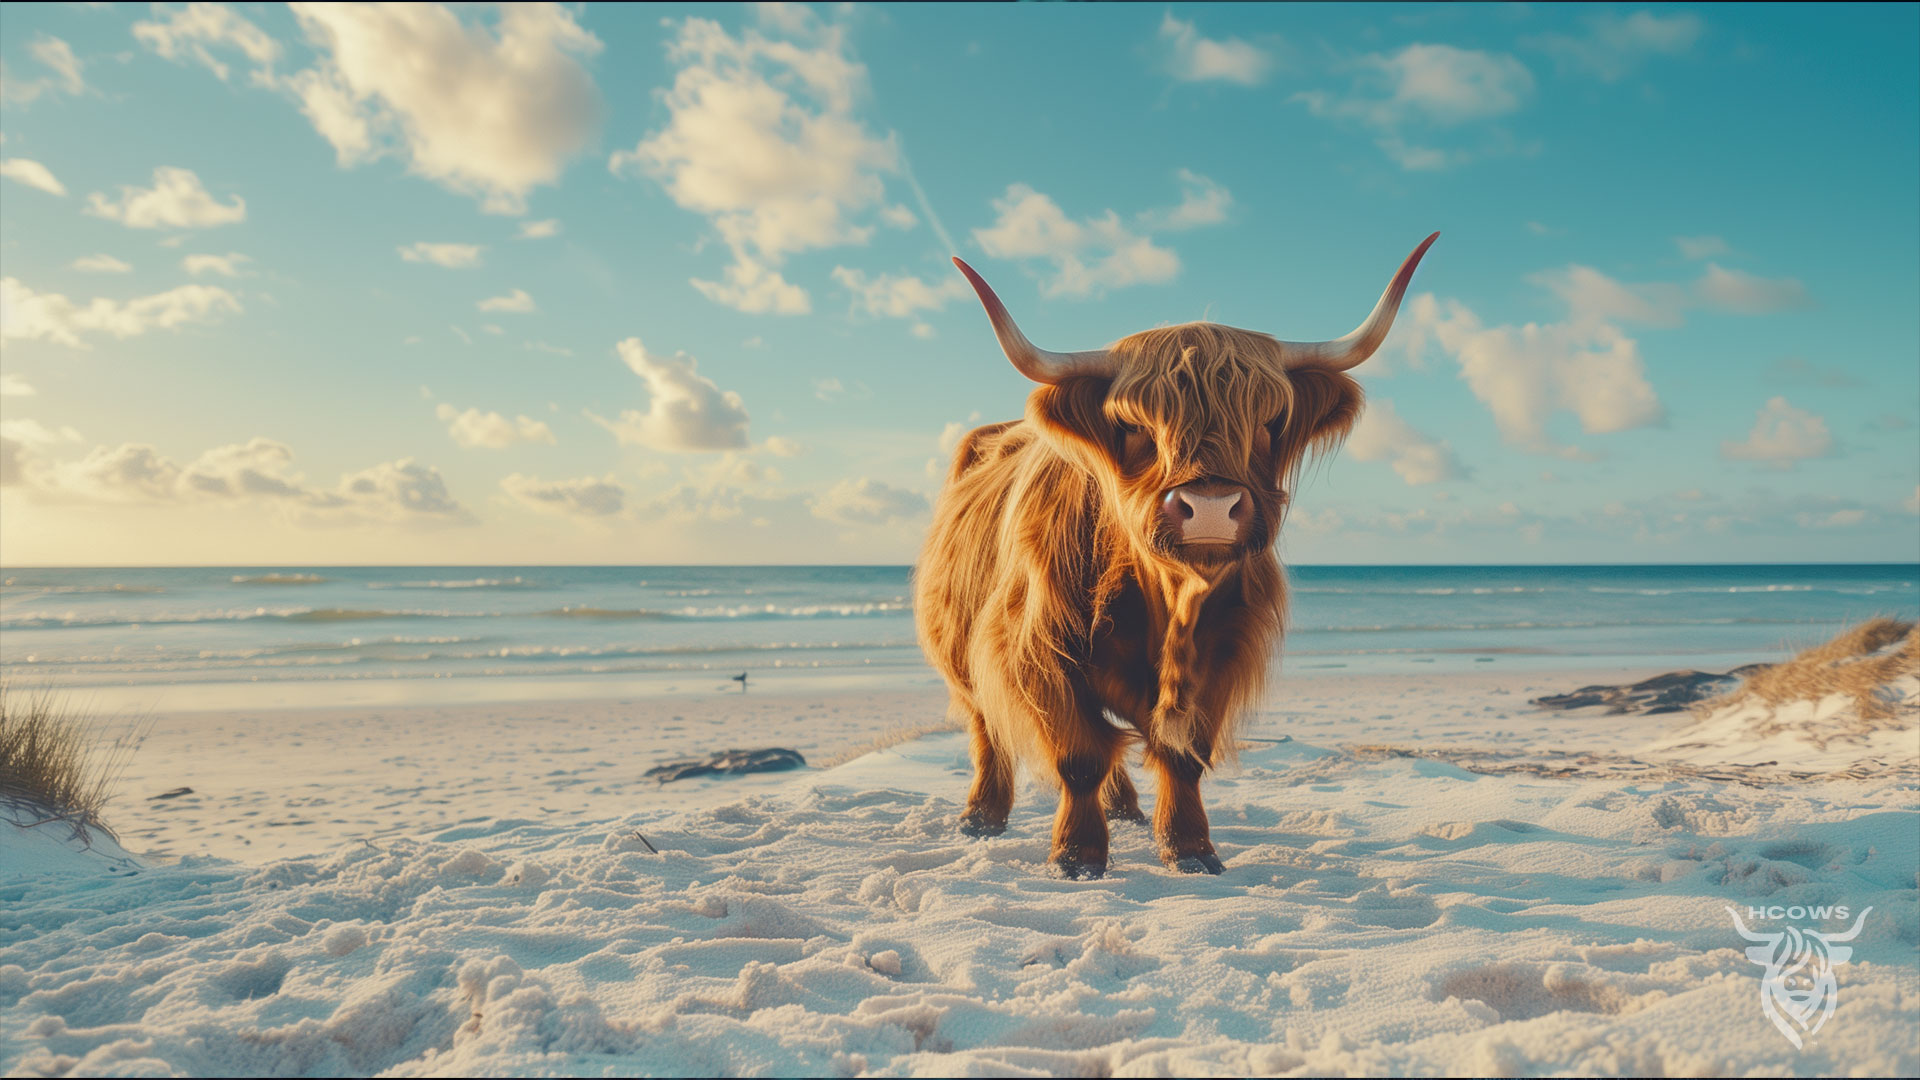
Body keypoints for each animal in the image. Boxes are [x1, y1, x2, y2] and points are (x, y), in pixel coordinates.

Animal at [913, 233, 1443, 876]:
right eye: (1132, 425)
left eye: (1270, 420)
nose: (1210, 507)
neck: (1168, 600)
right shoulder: (1036, 649)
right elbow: (1079, 755)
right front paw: (1077, 855)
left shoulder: (1225, 648)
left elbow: (1184, 755)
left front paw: (1190, 849)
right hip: (959, 658)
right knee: (986, 729)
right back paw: (982, 818)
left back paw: (1126, 811)